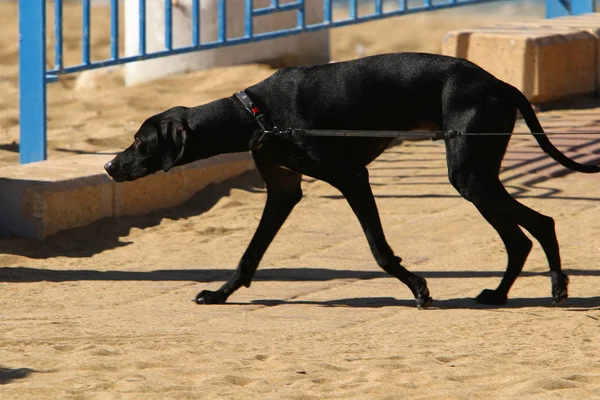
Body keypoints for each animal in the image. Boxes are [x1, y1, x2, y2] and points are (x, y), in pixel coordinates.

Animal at [104, 52, 600, 310]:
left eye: (139, 140)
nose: (109, 167)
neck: (256, 115)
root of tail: (500, 84)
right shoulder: (283, 191)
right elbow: (250, 255)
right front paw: (221, 293)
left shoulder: (352, 178)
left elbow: (379, 250)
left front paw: (418, 288)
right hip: (477, 177)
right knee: (526, 233)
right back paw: (502, 293)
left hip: (470, 174)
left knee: (537, 225)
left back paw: (552, 287)